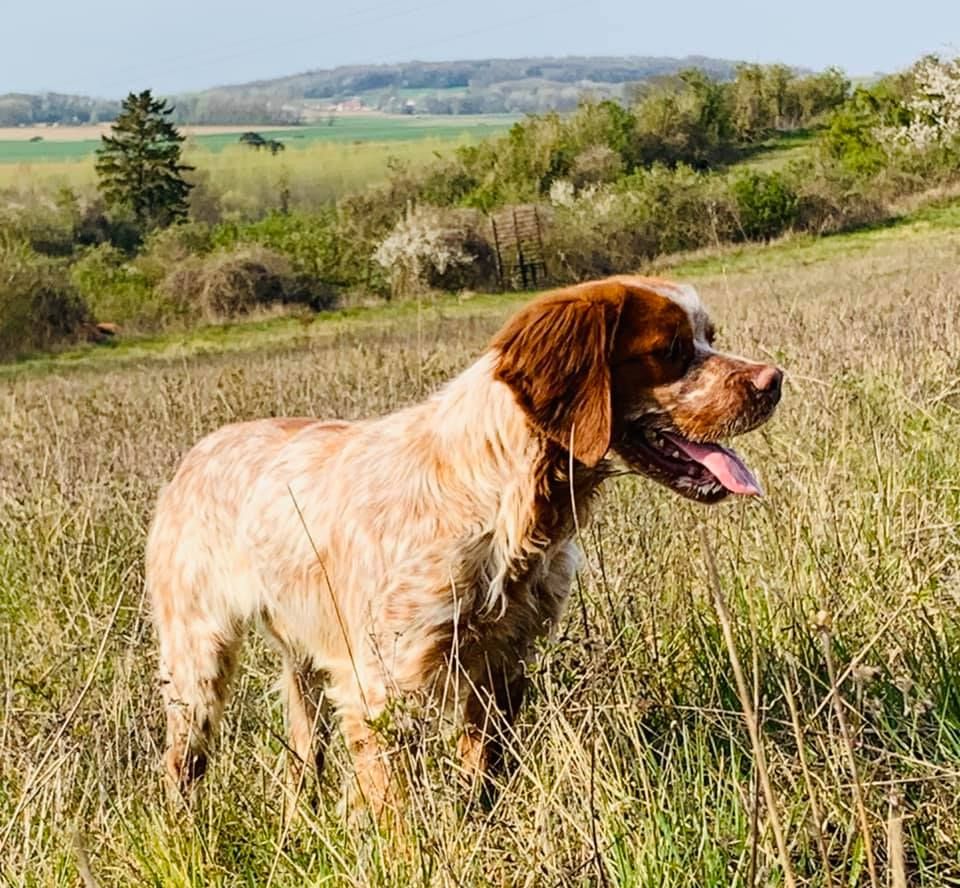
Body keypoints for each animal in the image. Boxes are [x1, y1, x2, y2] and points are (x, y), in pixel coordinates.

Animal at [146, 276, 784, 812]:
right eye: (670, 349)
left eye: (709, 337)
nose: (773, 381)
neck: (506, 499)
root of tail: (194, 455)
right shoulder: (380, 687)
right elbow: (398, 814)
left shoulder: (500, 664)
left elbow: (485, 774)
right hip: (195, 661)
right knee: (180, 762)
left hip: (301, 651)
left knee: (303, 749)